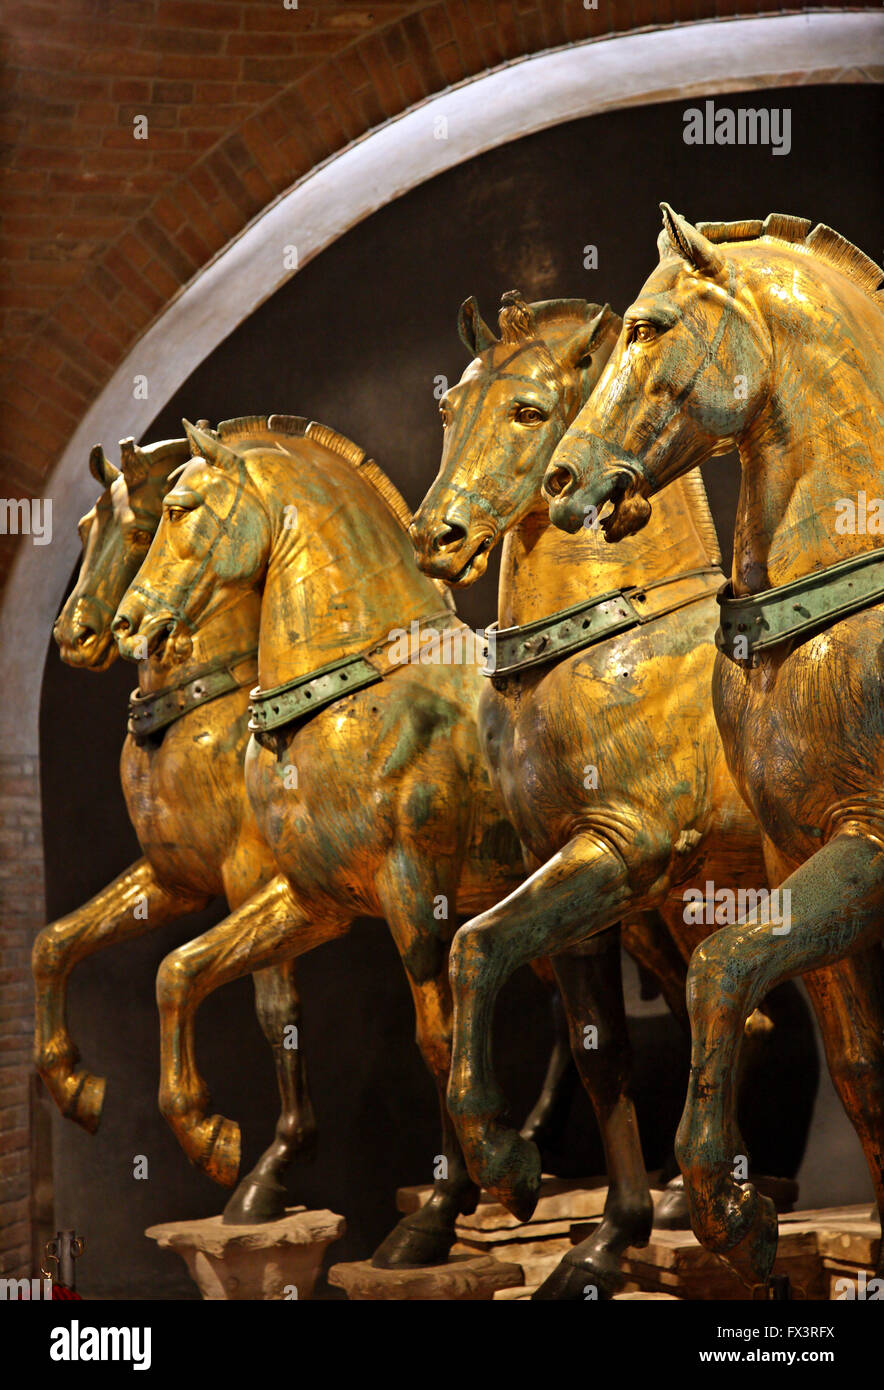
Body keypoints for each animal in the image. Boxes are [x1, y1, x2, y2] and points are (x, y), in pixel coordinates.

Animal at [40, 428, 321, 1223]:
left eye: (141, 530)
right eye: (84, 529)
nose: (76, 636)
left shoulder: (265, 883)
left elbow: (272, 1006)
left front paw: (257, 1163)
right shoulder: (172, 881)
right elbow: (56, 941)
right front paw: (74, 1087)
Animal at [408, 287, 800, 1295]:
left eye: (528, 411)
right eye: (448, 407)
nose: (438, 537)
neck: (606, 642)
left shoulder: (617, 853)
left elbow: (472, 947)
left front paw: (509, 1169)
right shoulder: (578, 888)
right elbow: (599, 1054)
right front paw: (601, 1243)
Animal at [544, 208, 884, 1289]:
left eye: (648, 327)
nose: (564, 479)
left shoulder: (866, 846)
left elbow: (722, 969)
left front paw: (732, 1214)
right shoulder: (795, 855)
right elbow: (852, 1066)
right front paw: (736, 1221)